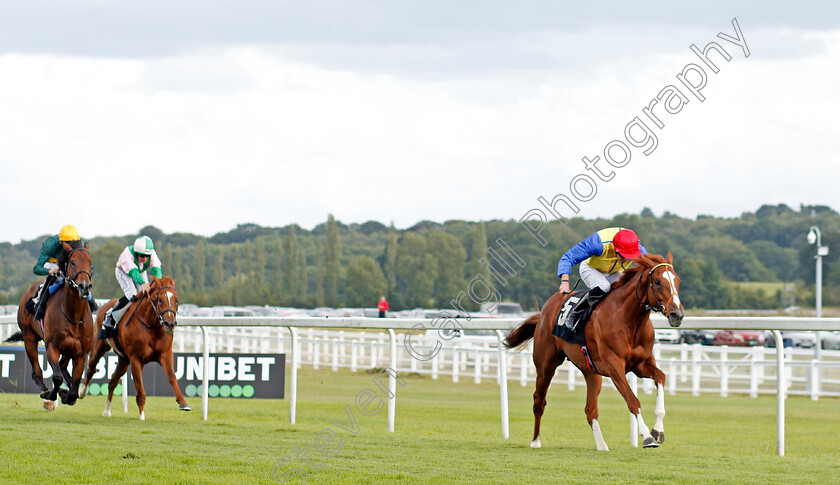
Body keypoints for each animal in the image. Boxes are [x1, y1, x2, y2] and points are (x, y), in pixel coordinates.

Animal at [12, 242, 94, 408]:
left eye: (90, 263)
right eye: (73, 262)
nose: (84, 286)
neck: (73, 315)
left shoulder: (81, 352)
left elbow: (74, 386)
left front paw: (68, 395)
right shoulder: (52, 346)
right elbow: (57, 377)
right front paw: (53, 395)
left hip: (69, 348)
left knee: (63, 367)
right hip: (29, 336)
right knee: (37, 372)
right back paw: (46, 391)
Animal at [79, 274, 190, 418]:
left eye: (176, 300)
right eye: (160, 300)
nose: (170, 323)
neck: (150, 325)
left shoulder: (165, 355)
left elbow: (172, 376)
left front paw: (183, 402)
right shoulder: (136, 358)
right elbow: (140, 390)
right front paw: (142, 416)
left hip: (123, 360)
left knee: (112, 382)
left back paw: (107, 410)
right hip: (98, 348)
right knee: (91, 368)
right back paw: (81, 391)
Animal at [502, 253, 684, 450]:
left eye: (677, 280)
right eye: (657, 281)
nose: (677, 315)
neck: (628, 319)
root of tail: (544, 311)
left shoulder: (641, 364)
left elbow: (661, 377)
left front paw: (658, 430)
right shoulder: (614, 367)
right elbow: (633, 400)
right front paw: (647, 437)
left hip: (591, 371)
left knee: (590, 409)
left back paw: (602, 446)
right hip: (546, 365)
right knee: (539, 401)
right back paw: (535, 441)